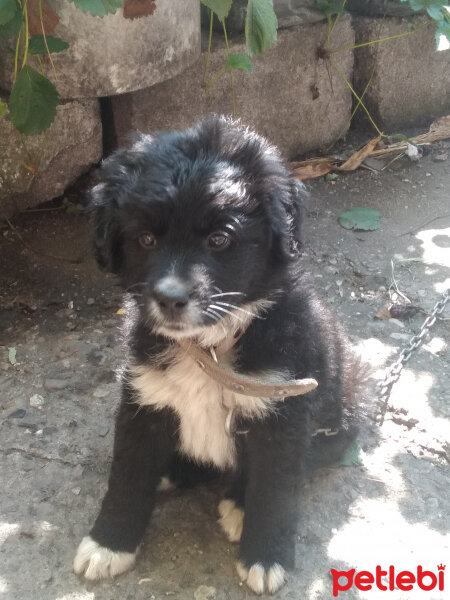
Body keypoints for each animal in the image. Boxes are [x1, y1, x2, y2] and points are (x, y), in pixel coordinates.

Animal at [74, 115, 358, 592]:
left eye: (220, 239)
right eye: (145, 238)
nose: (171, 299)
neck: (209, 345)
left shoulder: (283, 412)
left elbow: (275, 489)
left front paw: (266, 556)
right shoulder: (143, 399)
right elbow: (127, 476)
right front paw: (108, 544)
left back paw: (238, 504)